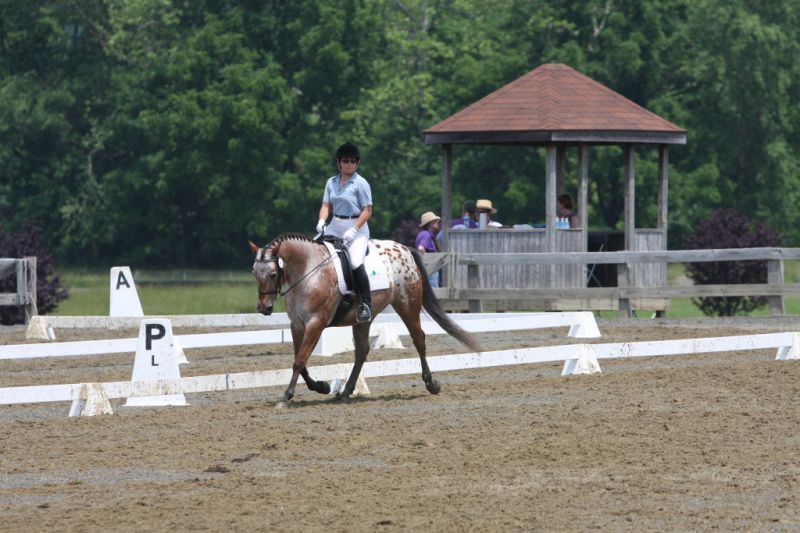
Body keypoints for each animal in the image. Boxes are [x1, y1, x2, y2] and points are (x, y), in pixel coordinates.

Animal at [249, 233, 481, 408]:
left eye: (272, 274)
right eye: (254, 273)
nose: (264, 308)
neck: (308, 270)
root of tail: (404, 249)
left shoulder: (316, 323)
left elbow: (299, 361)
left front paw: (286, 397)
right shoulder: (297, 324)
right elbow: (300, 362)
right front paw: (323, 387)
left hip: (408, 305)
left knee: (419, 340)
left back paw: (431, 384)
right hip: (363, 319)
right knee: (362, 351)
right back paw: (346, 391)